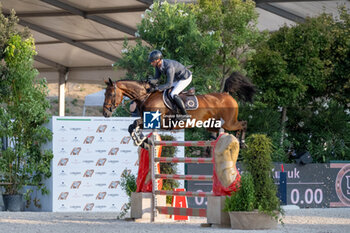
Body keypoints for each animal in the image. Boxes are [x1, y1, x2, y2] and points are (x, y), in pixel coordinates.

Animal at [102, 72, 256, 147]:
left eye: (110, 94)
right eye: (104, 94)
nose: (105, 112)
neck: (146, 96)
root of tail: (226, 94)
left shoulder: (158, 122)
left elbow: (134, 124)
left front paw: (141, 140)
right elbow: (132, 126)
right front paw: (140, 140)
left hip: (229, 122)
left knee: (243, 124)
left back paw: (242, 143)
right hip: (212, 124)